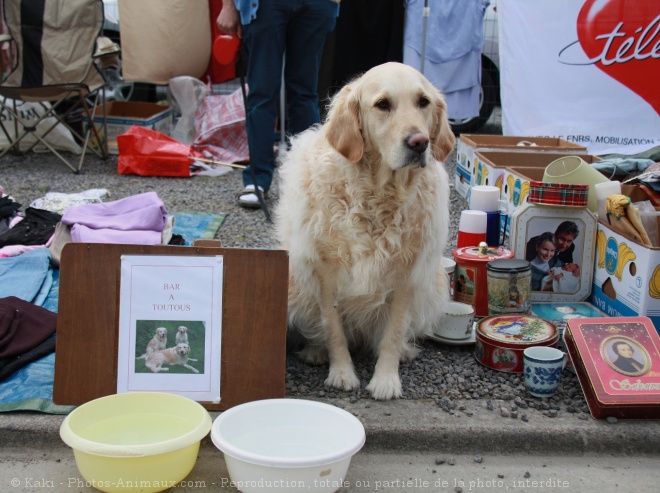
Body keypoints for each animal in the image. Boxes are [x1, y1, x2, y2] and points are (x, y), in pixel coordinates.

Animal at [274, 62, 454, 400]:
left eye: (423, 102)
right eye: (383, 104)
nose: (419, 142)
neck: (378, 194)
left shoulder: (406, 274)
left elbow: (393, 333)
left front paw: (386, 380)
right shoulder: (325, 273)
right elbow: (333, 329)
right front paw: (342, 374)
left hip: (435, 282)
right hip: (294, 279)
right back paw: (315, 351)